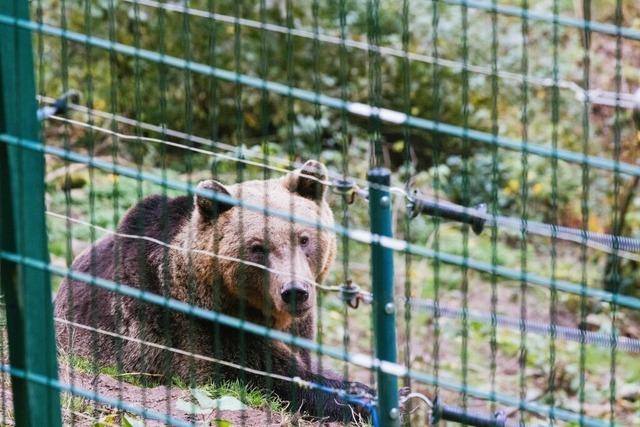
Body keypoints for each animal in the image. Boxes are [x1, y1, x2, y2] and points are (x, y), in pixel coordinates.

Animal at [57, 160, 376, 422]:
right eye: (257, 247)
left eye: (304, 238)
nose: (295, 291)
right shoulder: (189, 330)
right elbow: (261, 375)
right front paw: (357, 398)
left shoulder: (299, 327)